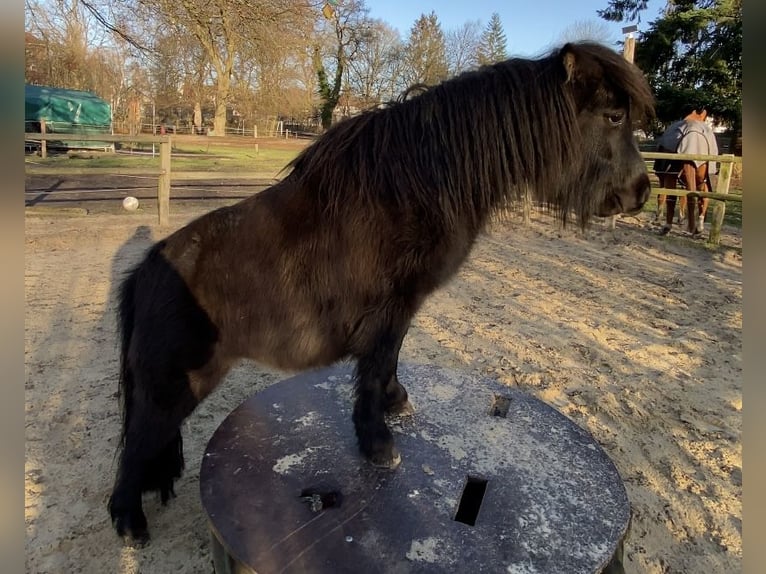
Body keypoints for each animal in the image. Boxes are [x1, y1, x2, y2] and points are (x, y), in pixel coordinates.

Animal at [108, 41, 656, 548]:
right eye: (613, 116)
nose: (642, 193)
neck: (416, 190)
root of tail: (146, 271)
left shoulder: (400, 310)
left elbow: (390, 361)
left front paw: (397, 402)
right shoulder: (387, 311)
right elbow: (374, 369)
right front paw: (378, 443)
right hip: (175, 387)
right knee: (136, 445)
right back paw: (129, 523)